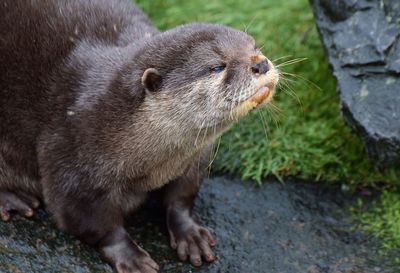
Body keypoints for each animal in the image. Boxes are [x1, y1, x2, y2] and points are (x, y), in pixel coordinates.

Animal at [0, 0, 278, 272]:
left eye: (254, 46)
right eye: (217, 66)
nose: (260, 63)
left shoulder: (195, 157)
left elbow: (182, 197)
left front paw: (190, 235)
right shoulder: (69, 156)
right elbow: (94, 222)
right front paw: (130, 255)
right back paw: (12, 199)